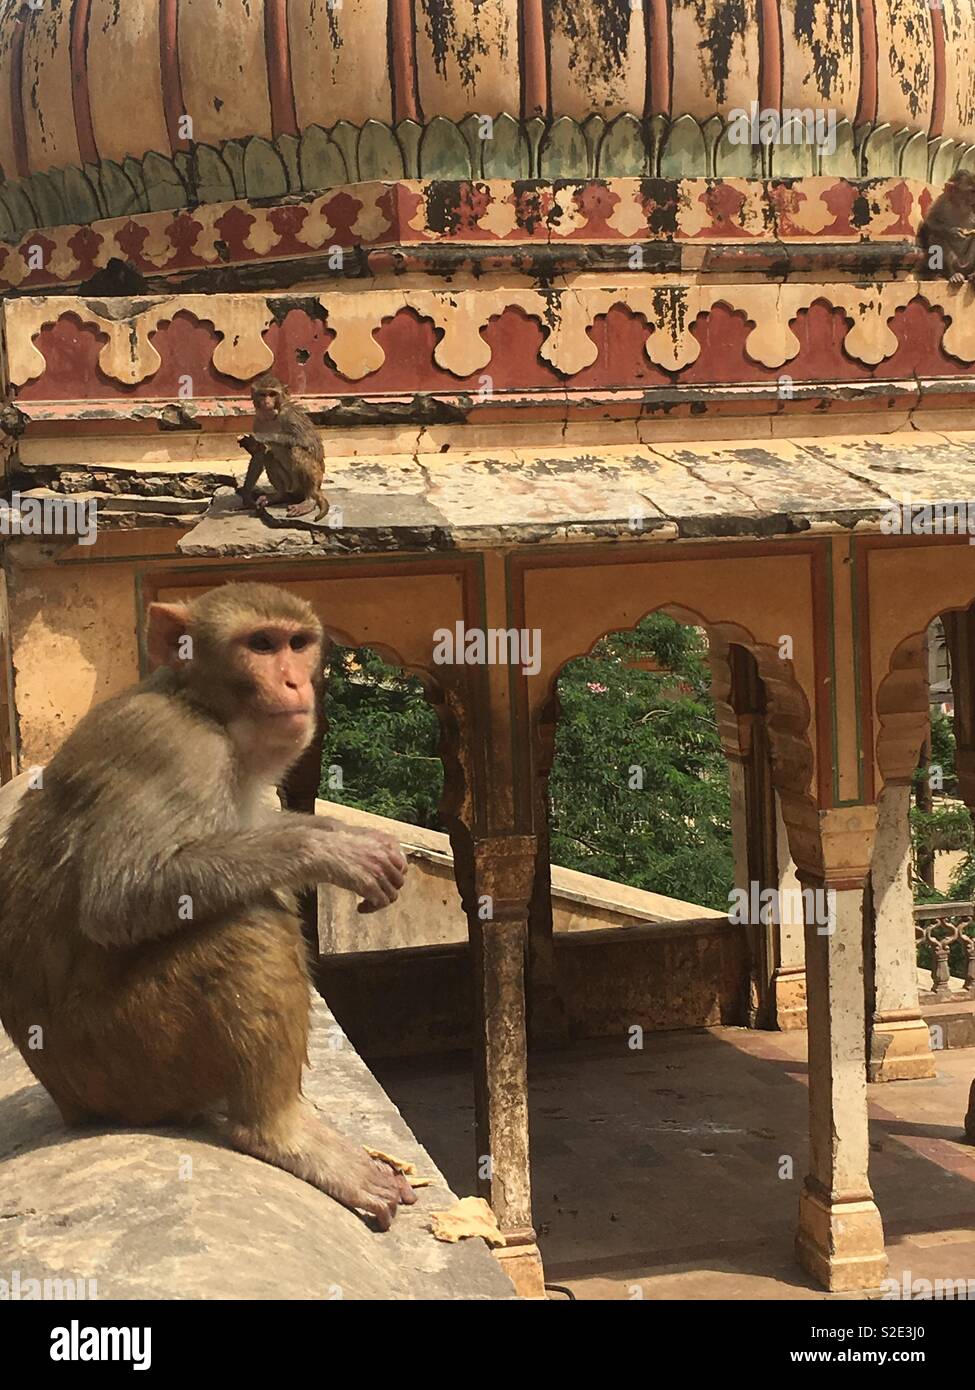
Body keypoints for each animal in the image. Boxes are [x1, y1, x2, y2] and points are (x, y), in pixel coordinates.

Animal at [0, 582, 417, 1229]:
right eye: (261, 644)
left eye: (297, 643)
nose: (295, 682)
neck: (204, 707)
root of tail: (69, 1102)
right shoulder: (173, 751)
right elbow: (117, 899)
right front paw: (332, 850)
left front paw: (342, 835)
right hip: (128, 1064)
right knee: (249, 925)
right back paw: (278, 1131)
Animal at [239, 375, 329, 520]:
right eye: (263, 394)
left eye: (272, 394)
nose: (267, 402)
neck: (273, 416)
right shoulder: (257, 420)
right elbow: (259, 453)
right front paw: (246, 496)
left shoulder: (290, 415)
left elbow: (305, 440)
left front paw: (263, 437)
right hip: (291, 486)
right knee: (269, 456)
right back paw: (280, 495)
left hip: (312, 481)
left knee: (297, 450)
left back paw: (309, 500)